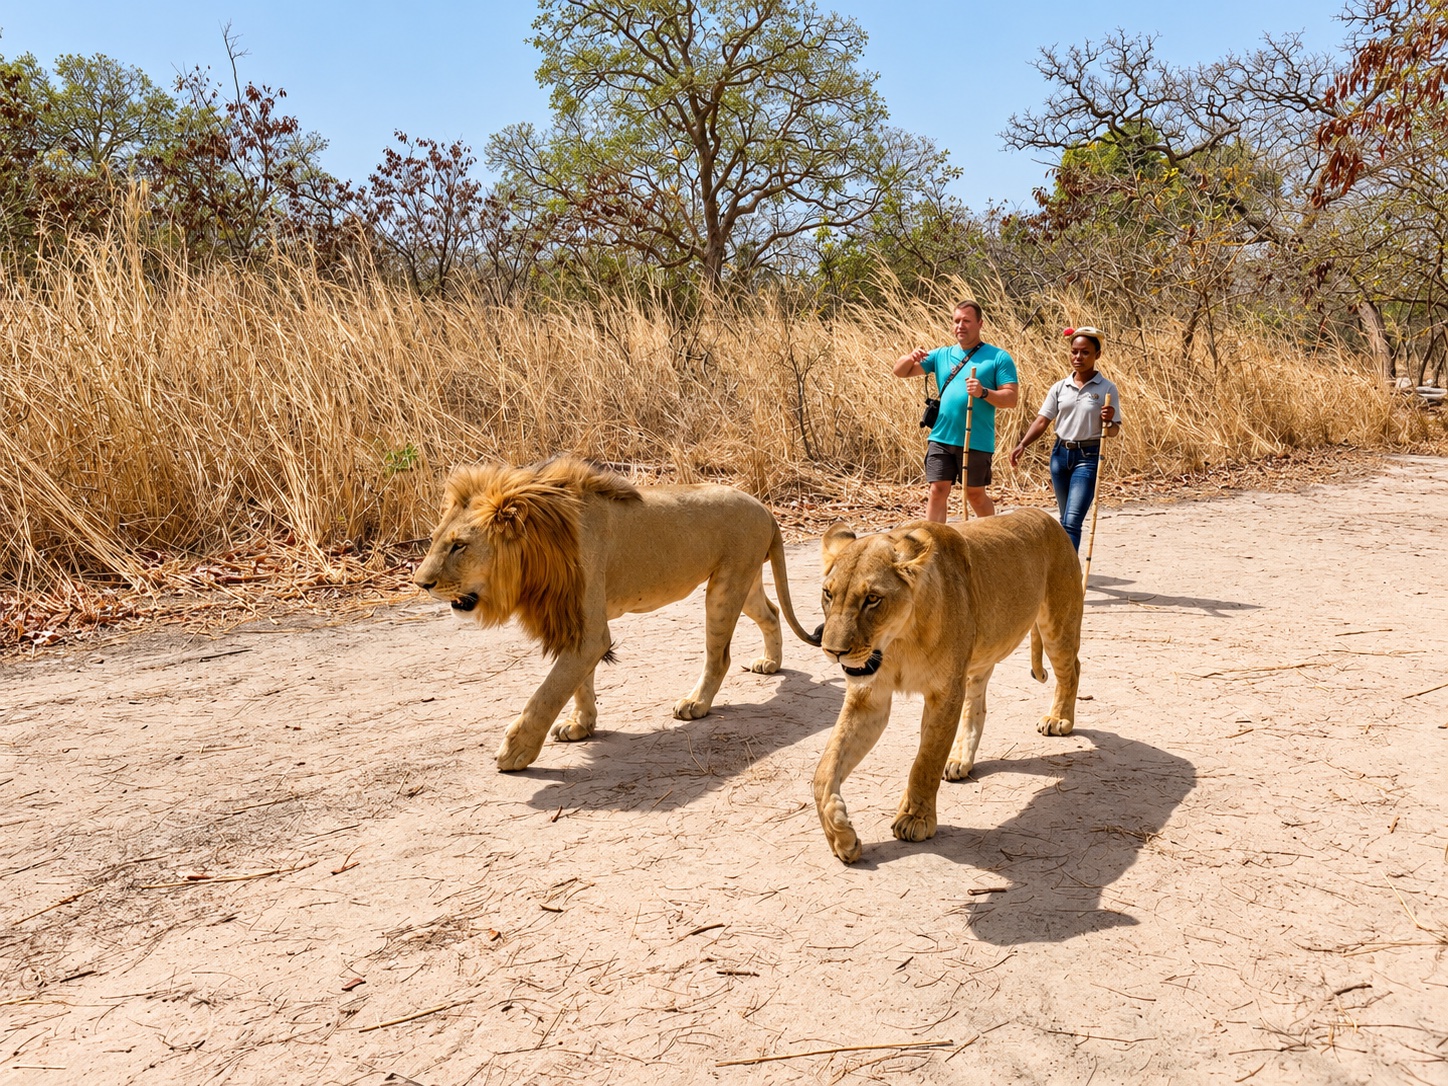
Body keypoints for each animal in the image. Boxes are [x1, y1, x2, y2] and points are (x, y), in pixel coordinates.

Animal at [412, 457, 819, 771]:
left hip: (725, 589)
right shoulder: (576, 623)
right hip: (741, 582)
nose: (420, 583)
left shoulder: (589, 630)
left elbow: (548, 692)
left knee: (719, 656)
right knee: (771, 612)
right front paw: (580, 726)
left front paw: (516, 750)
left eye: (459, 546)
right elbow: (579, 684)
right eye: (434, 541)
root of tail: (765, 508)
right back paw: (770, 662)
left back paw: (696, 704)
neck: (537, 548)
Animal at [810, 507, 1083, 863]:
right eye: (828, 594)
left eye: (872, 599)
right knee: (977, 706)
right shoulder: (869, 698)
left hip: (1057, 626)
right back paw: (960, 761)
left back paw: (1059, 718)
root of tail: (1045, 515)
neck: (899, 642)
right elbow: (825, 769)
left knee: (1072, 669)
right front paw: (840, 835)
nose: (832, 650)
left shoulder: (944, 693)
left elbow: (926, 760)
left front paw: (915, 818)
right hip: (978, 659)